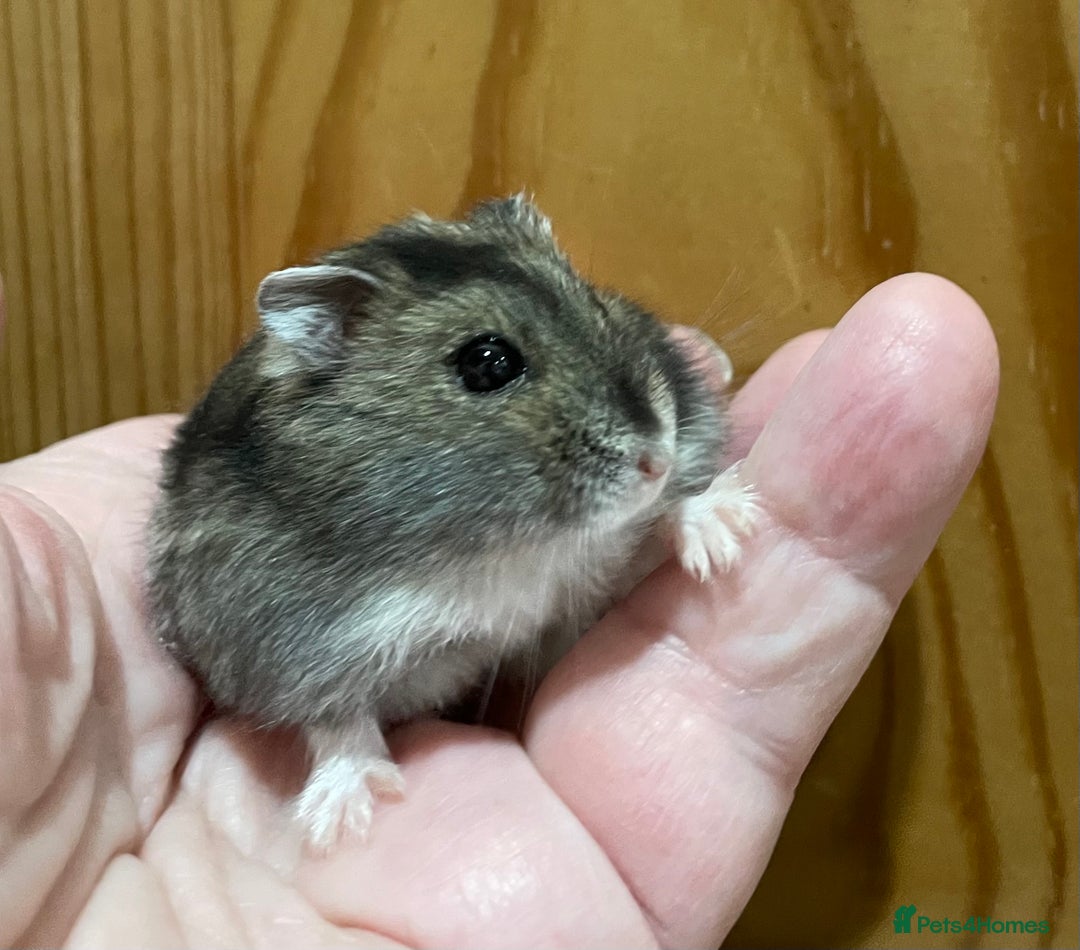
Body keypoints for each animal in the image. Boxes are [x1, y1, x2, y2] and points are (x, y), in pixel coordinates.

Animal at [147, 195, 759, 850]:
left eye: (595, 302)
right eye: (487, 363)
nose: (658, 458)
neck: (501, 546)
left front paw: (726, 528)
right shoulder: (281, 646)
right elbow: (335, 719)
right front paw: (346, 819)